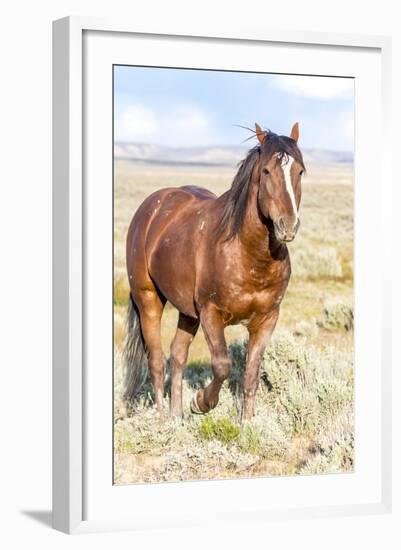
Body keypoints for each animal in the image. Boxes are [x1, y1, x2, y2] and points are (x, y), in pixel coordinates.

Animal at [123, 123, 304, 420]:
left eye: (300, 171)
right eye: (266, 171)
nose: (287, 225)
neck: (249, 256)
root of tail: (153, 206)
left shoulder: (267, 319)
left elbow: (251, 375)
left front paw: (248, 423)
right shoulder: (211, 313)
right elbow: (222, 365)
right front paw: (201, 402)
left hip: (187, 313)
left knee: (177, 355)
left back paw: (176, 416)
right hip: (148, 300)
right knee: (157, 360)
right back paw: (161, 418)